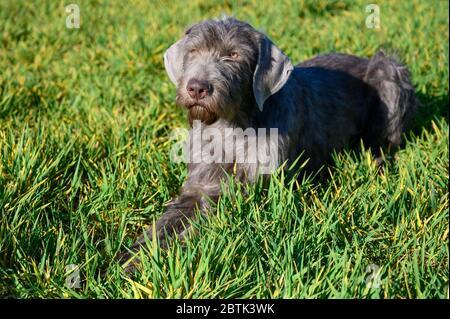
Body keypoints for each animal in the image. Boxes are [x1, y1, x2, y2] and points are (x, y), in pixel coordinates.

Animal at [118, 17, 414, 270]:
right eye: (192, 51)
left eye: (234, 55)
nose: (197, 88)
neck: (232, 126)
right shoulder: (200, 185)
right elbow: (166, 221)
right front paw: (130, 257)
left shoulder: (253, 189)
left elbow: (203, 221)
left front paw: (149, 260)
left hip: (389, 72)